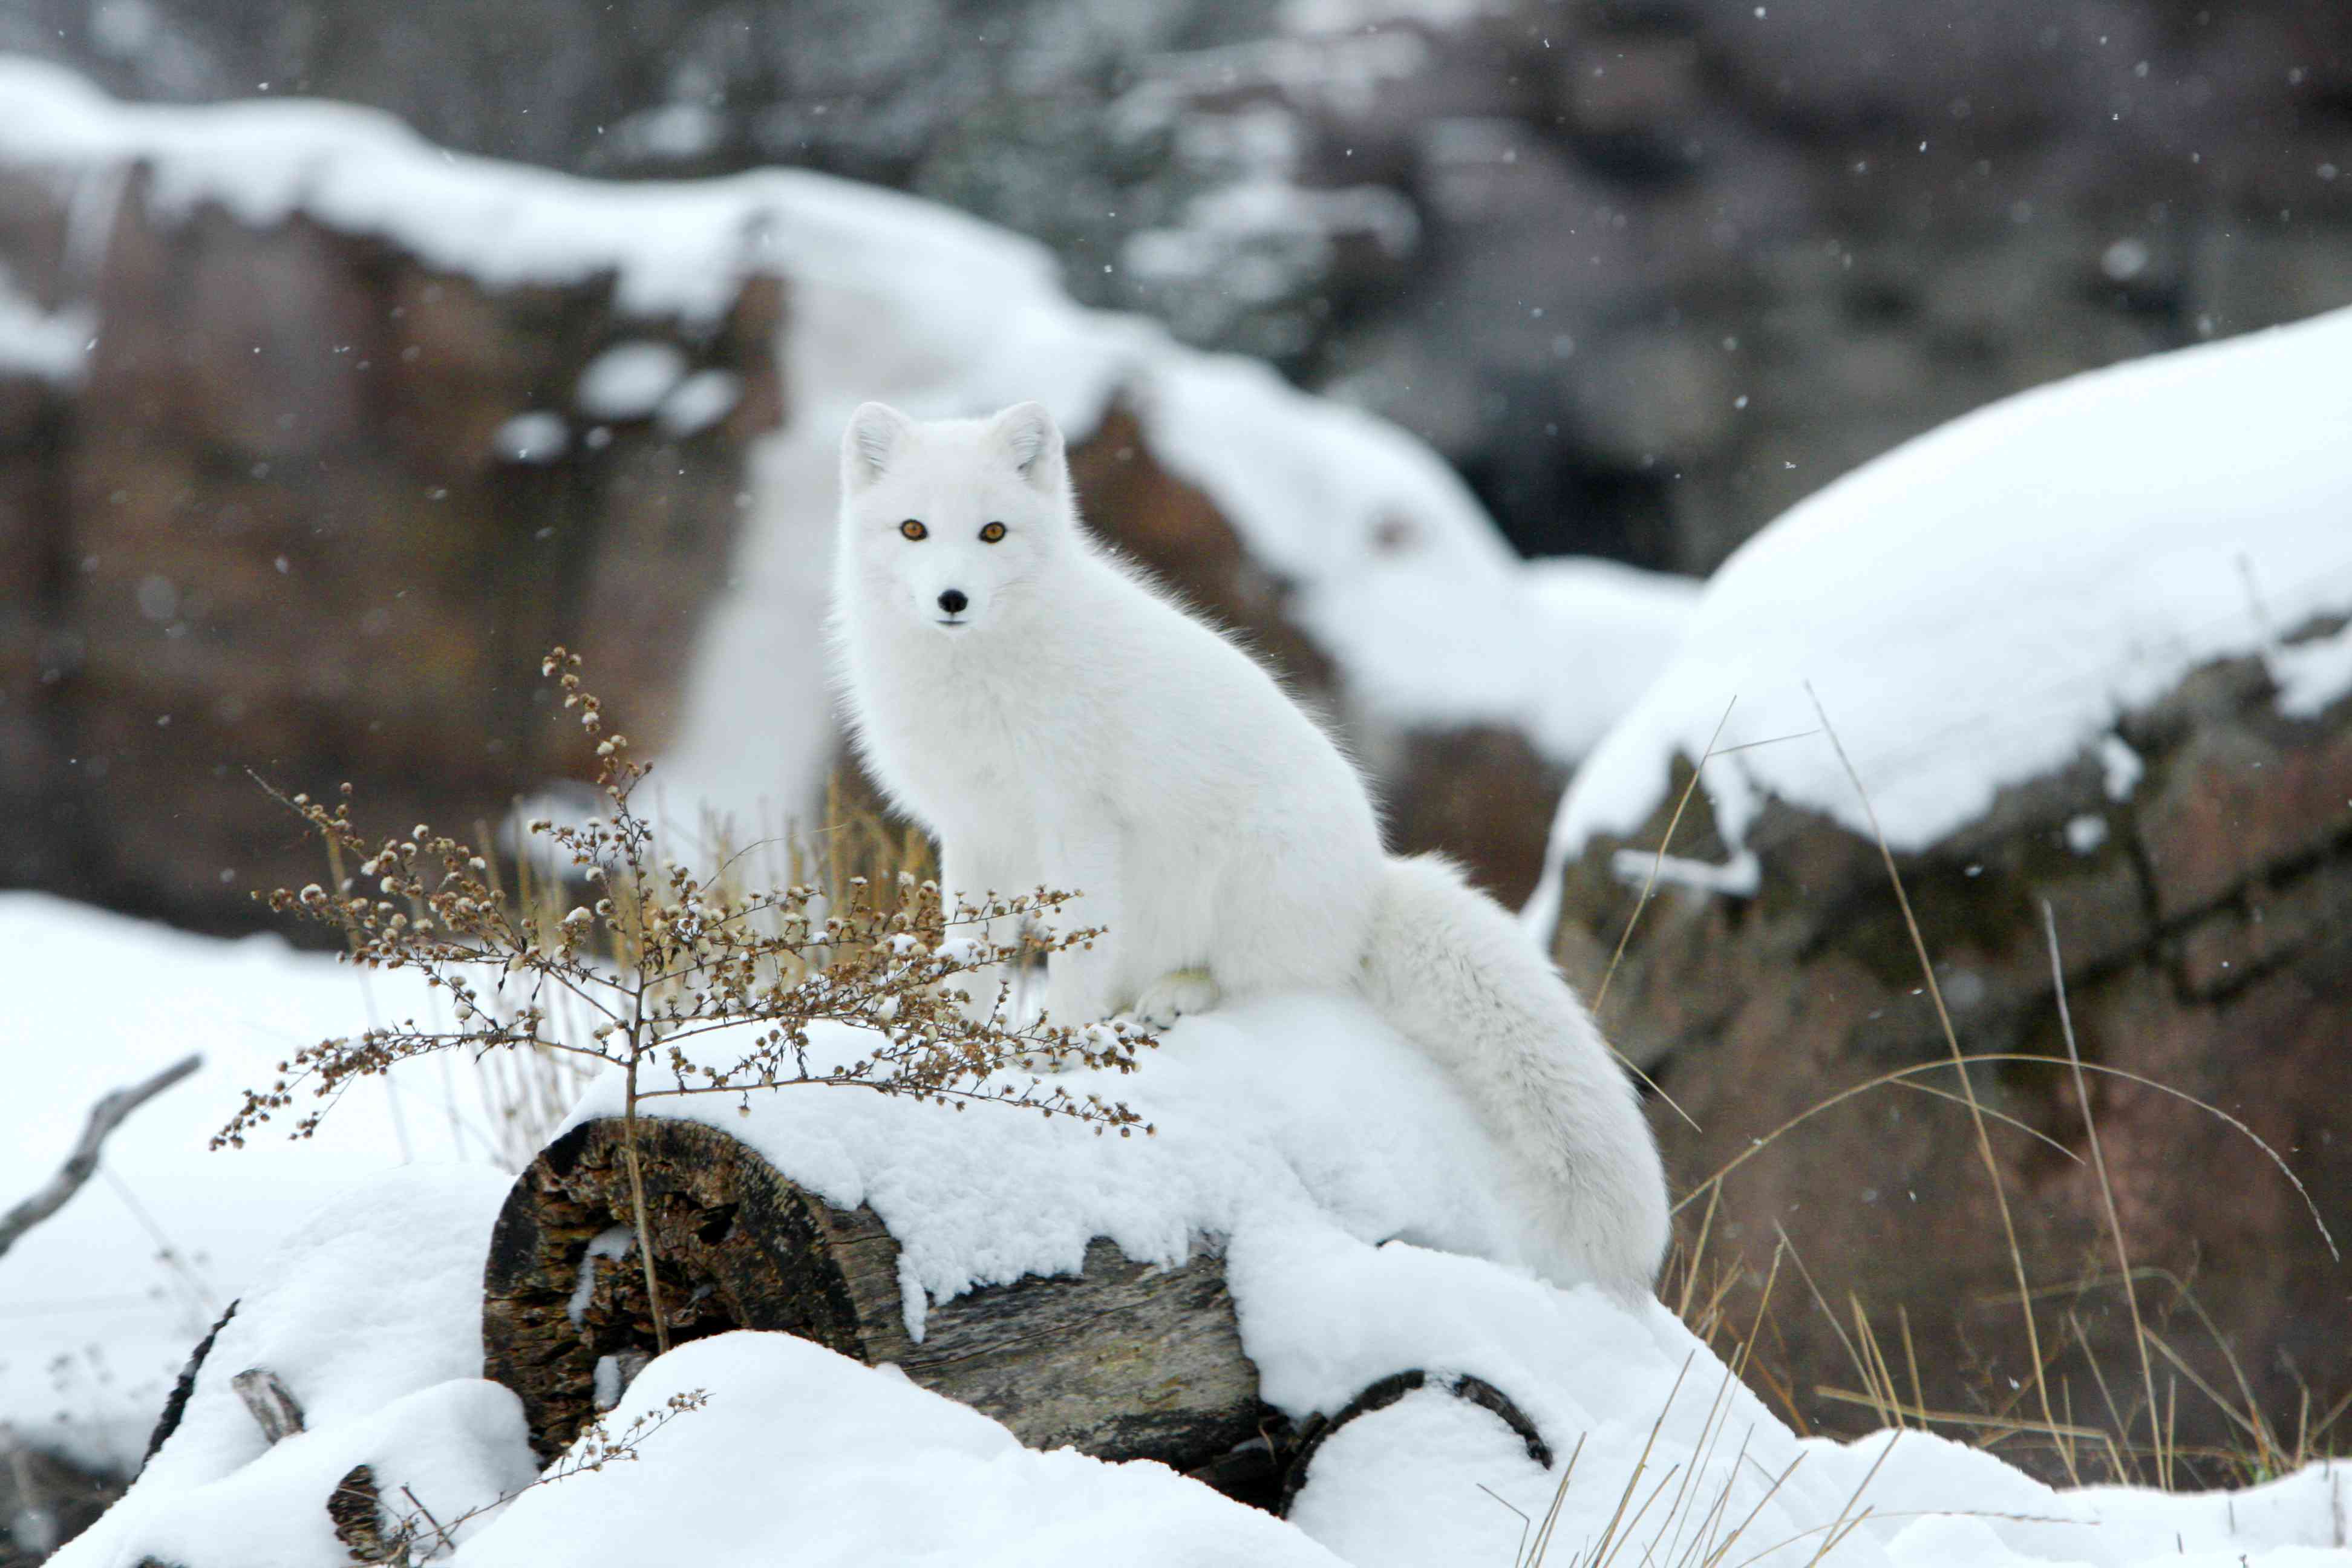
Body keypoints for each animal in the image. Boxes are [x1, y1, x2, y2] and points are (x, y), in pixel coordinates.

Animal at [832, 399, 1674, 1298]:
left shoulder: (1079, 821)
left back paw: (1177, 994)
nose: (952, 597)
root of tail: (1371, 891)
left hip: (1247, 878)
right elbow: (974, 955)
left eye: (993, 532)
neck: (976, 678)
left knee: (1254, 985)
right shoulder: (974, 834)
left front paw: (1057, 1050)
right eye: (913, 529)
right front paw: (955, 1043)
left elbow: (1076, 956)